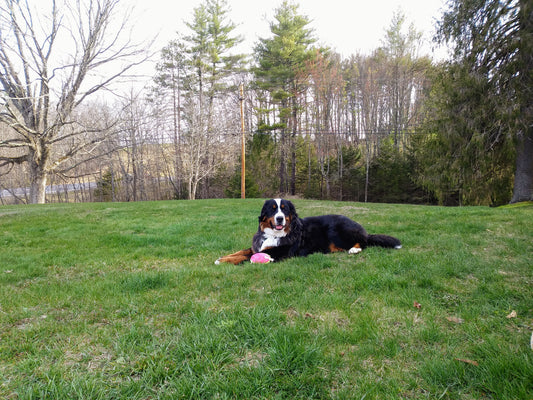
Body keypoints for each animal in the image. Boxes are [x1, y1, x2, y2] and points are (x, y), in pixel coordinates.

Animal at [214, 198, 402, 266]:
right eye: (273, 209)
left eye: (284, 209)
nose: (280, 219)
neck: (275, 234)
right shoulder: (258, 246)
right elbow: (242, 251)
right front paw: (223, 258)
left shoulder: (279, 252)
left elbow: (247, 257)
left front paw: (226, 261)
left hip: (337, 230)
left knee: (364, 242)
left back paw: (354, 249)